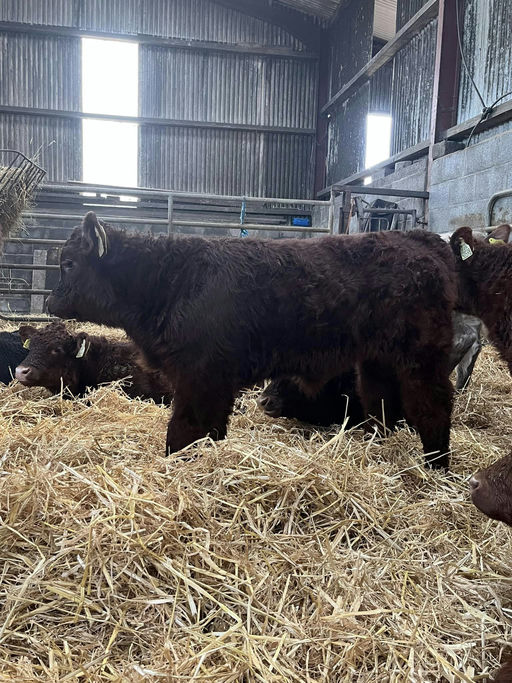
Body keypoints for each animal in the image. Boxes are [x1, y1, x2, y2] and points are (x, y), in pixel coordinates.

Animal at [47, 211, 457, 467]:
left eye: (69, 263)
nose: (50, 301)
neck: (172, 279)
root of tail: (421, 240)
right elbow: (209, 429)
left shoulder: (201, 377)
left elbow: (185, 430)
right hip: (377, 362)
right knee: (382, 404)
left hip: (422, 359)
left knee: (432, 405)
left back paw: (436, 466)